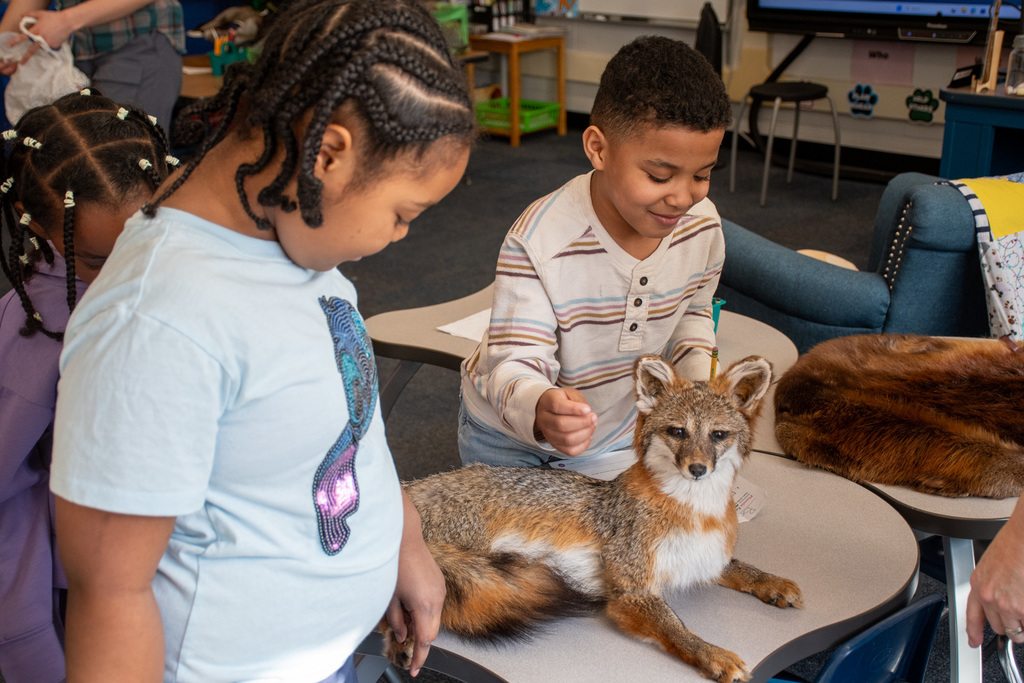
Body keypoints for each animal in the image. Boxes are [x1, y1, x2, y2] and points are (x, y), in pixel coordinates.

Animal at [381, 354, 803, 683]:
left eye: (717, 435)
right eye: (678, 432)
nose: (697, 469)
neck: (694, 511)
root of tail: (409, 488)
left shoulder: (704, 558)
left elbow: (741, 568)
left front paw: (772, 582)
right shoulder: (631, 590)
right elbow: (678, 628)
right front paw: (713, 654)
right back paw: (405, 644)